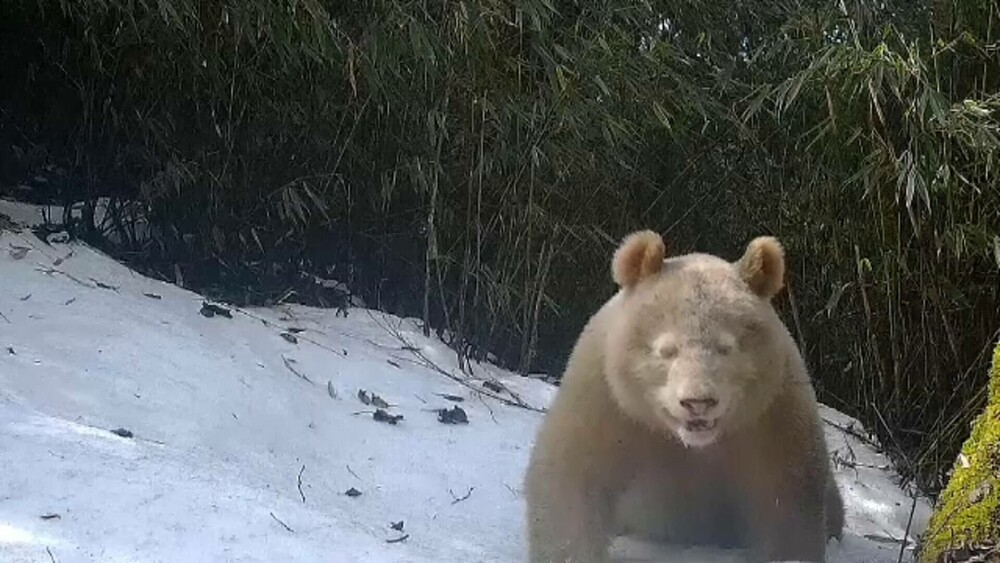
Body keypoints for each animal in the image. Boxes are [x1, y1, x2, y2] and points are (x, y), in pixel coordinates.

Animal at [524, 230, 844, 563]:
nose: (698, 403)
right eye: (667, 350)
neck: (690, 441)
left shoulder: (769, 415)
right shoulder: (610, 400)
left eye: (726, 348)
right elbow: (573, 477)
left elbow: (785, 500)